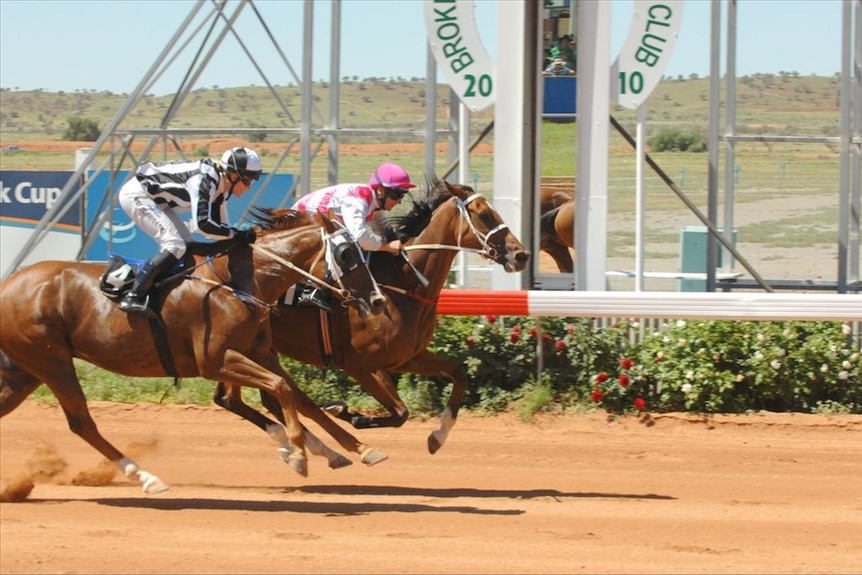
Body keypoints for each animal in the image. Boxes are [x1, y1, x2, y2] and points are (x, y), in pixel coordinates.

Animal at [0, 209, 386, 492]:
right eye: (347, 253)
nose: (378, 300)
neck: (239, 281)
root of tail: (9, 283)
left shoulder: (258, 353)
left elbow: (295, 396)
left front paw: (353, 449)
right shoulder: (214, 361)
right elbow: (280, 389)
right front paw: (298, 455)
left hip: (26, 369)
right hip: (51, 362)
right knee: (82, 422)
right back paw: (147, 477)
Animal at [214, 178, 532, 462]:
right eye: (484, 214)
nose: (521, 255)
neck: (404, 284)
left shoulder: (406, 357)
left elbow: (458, 374)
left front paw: (437, 437)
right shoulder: (360, 365)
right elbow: (400, 412)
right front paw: (345, 412)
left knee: (235, 398)